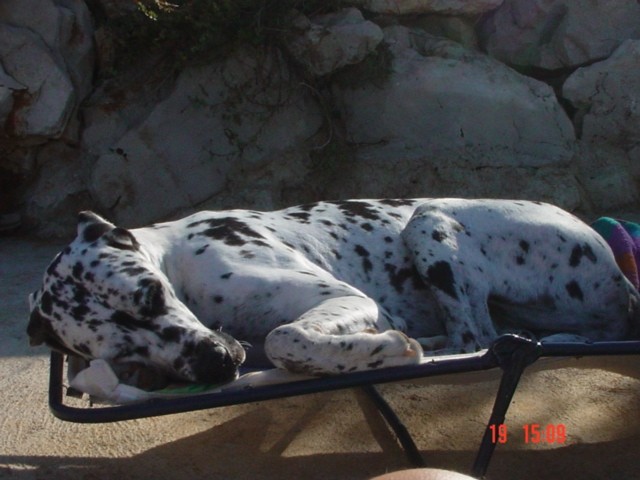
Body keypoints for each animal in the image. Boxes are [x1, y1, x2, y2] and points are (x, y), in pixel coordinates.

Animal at [26, 199, 640, 386]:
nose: (216, 365)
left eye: (152, 295)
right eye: (121, 353)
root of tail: (623, 282)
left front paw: (385, 348)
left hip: (428, 219)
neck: (176, 257)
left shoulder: (346, 299)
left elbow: (284, 338)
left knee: (476, 336)